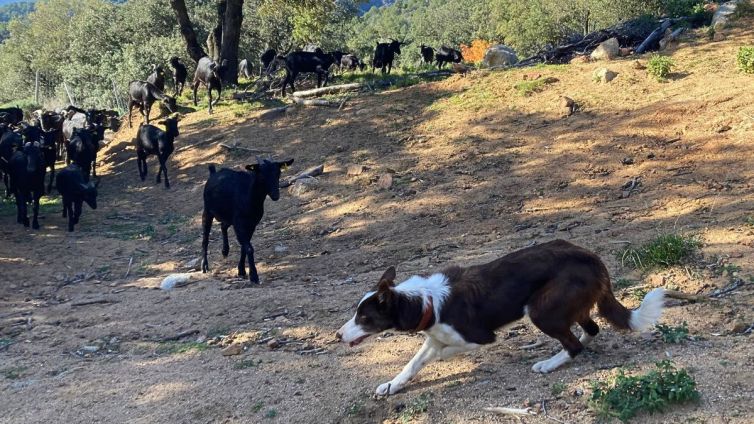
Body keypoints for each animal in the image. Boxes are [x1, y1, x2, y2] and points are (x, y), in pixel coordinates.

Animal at [336, 240, 664, 396]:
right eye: (356, 313)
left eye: (364, 317)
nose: (338, 335)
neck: (423, 302)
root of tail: (593, 259)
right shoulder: (434, 337)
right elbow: (412, 364)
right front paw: (392, 386)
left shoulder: (478, 337)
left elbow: (443, 354)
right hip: (565, 307)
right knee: (591, 329)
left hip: (540, 311)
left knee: (575, 344)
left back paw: (548, 364)